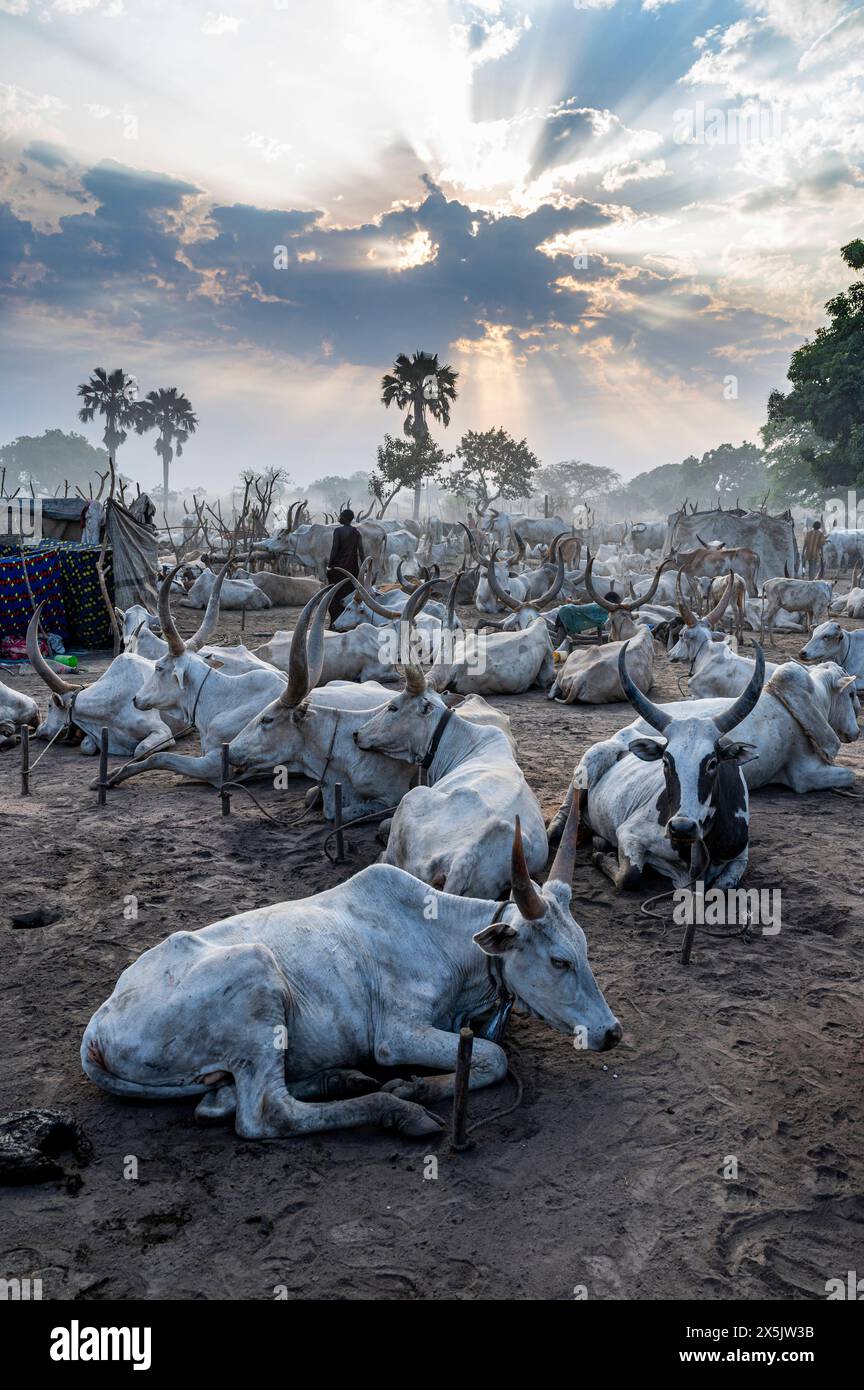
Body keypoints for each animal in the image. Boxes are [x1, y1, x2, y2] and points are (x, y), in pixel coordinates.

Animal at [82, 811, 622, 1139]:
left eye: (584, 950)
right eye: (559, 961)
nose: (611, 1032)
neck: (448, 941)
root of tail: (97, 1029)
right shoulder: (396, 1033)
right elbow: (493, 1058)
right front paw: (412, 1089)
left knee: (220, 1102)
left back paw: (336, 1078)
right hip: (256, 976)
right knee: (266, 1113)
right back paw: (394, 1111)